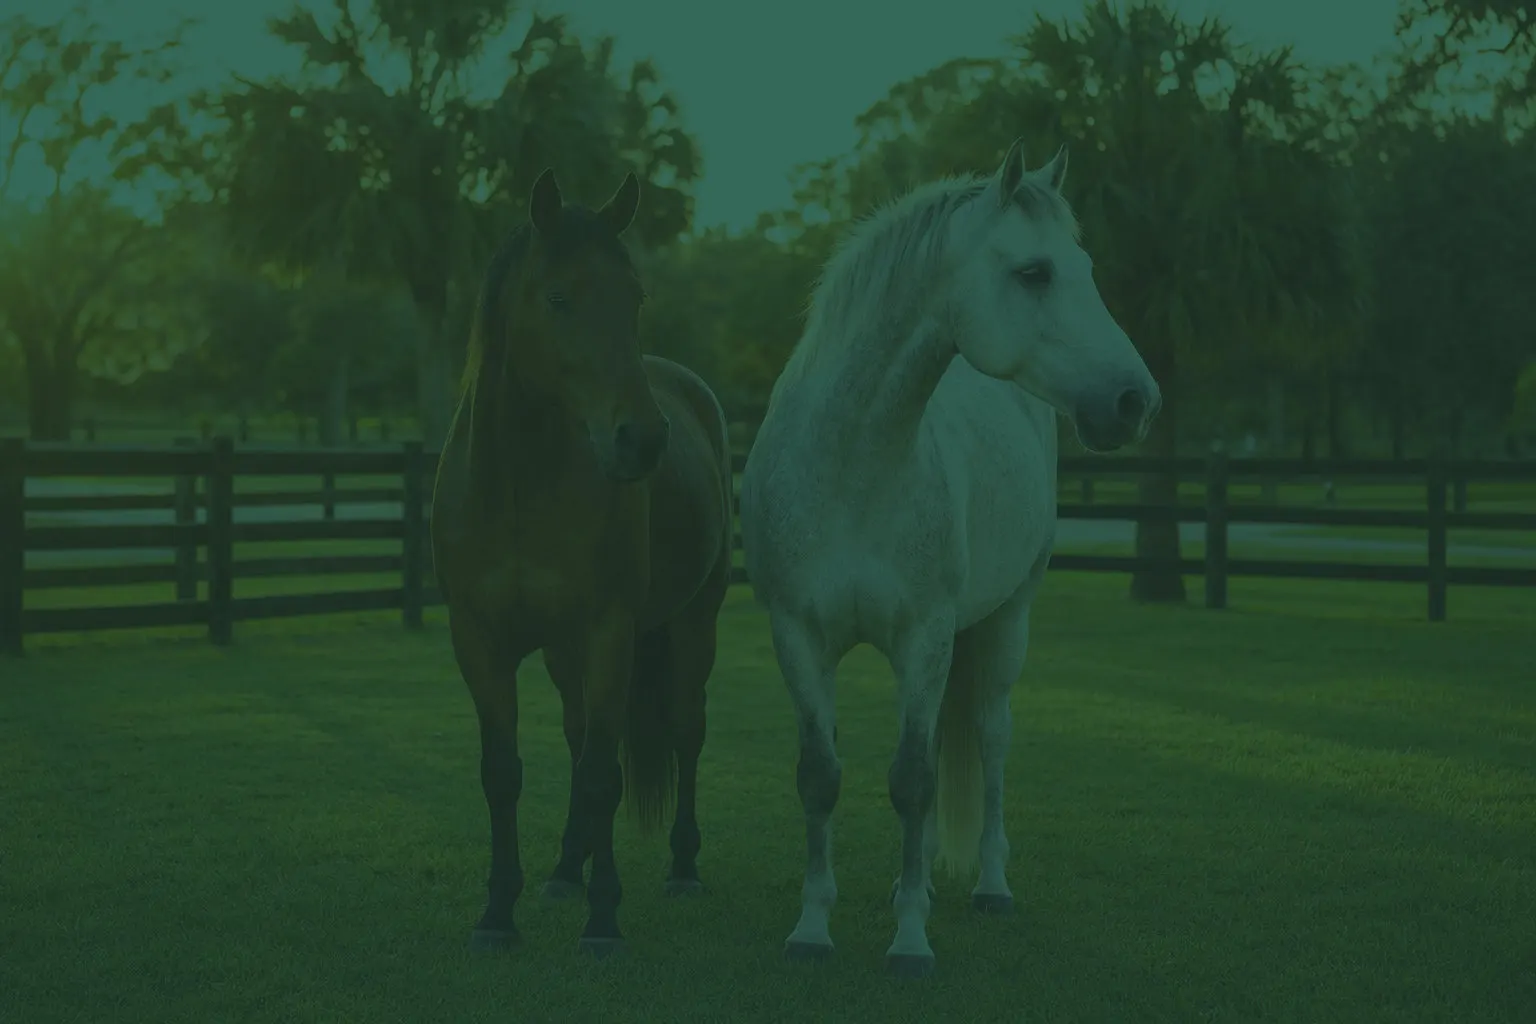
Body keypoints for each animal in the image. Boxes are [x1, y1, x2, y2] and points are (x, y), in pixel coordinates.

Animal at [430, 168, 734, 958]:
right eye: (560, 298)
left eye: (635, 298)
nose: (642, 439)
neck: (516, 486)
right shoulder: (479, 640)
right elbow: (504, 772)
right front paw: (498, 912)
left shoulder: (607, 632)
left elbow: (604, 775)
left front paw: (604, 921)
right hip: (565, 651)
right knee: (575, 738)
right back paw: (567, 867)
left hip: (694, 624)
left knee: (685, 729)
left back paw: (681, 867)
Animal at [738, 139, 1161, 978]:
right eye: (1035, 271)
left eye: (1086, 267)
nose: (1136, 400)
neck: (853, 469)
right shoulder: (798, 636)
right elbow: (822, 777)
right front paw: (813, 927)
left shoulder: (925, 635)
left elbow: (911, 780)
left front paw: (909, 942)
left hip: (1005, 624)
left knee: (990, 741)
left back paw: (988, 885)